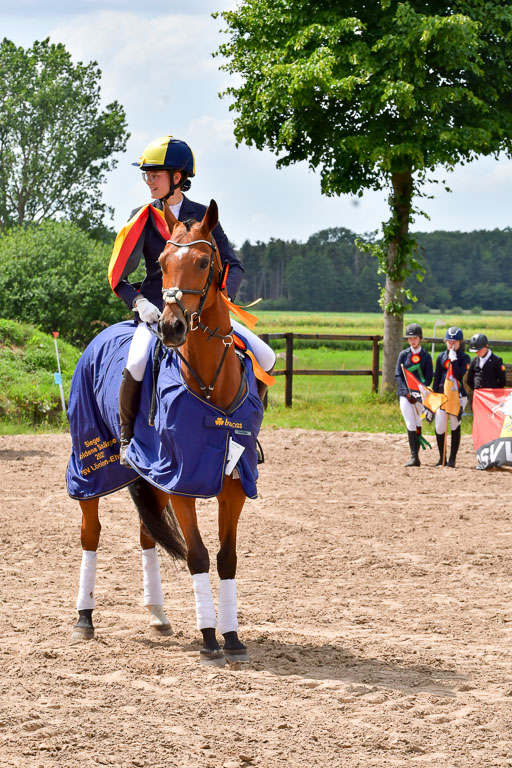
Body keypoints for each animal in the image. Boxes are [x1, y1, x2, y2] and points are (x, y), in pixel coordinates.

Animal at [67, 200, 265, 665]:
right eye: (161, 263)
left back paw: (157, 615)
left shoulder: (233, 482)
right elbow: (198, 556)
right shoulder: (182, 482)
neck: (209, 382)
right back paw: (84, 618)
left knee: (145, 534)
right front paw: (210, 639)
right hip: (89, 465)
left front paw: (232, 637)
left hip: (149, 474)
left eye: (204, 261)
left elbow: (227, 559)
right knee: (91, 534)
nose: (171, 327)